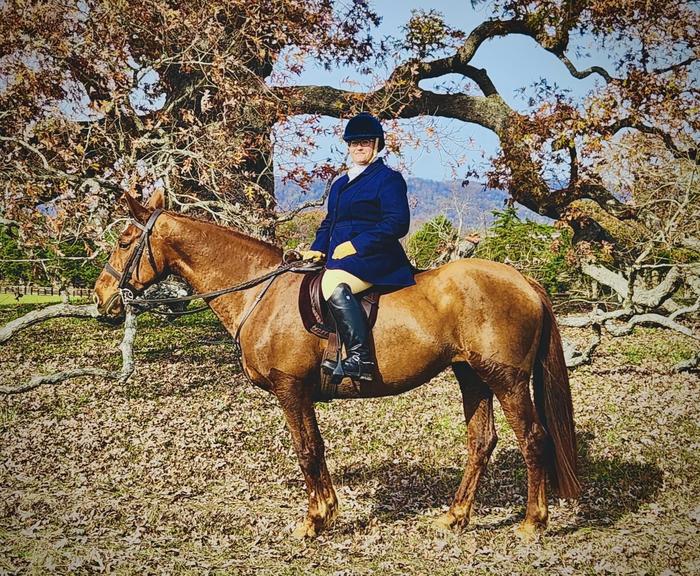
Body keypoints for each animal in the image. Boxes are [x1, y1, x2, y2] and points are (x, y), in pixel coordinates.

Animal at [93, 189, 581, 539]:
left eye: (123, 242)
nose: (101, 297)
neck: (260, 293)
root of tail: (523, 279)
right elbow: (316, 449)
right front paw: (326, 513)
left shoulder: (291, 390)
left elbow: (307, 450)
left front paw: (314, 520)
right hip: (472, 376)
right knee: (481, 441)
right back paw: (455, 517)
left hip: (506, 379)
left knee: (533, 439)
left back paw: (532, 523)